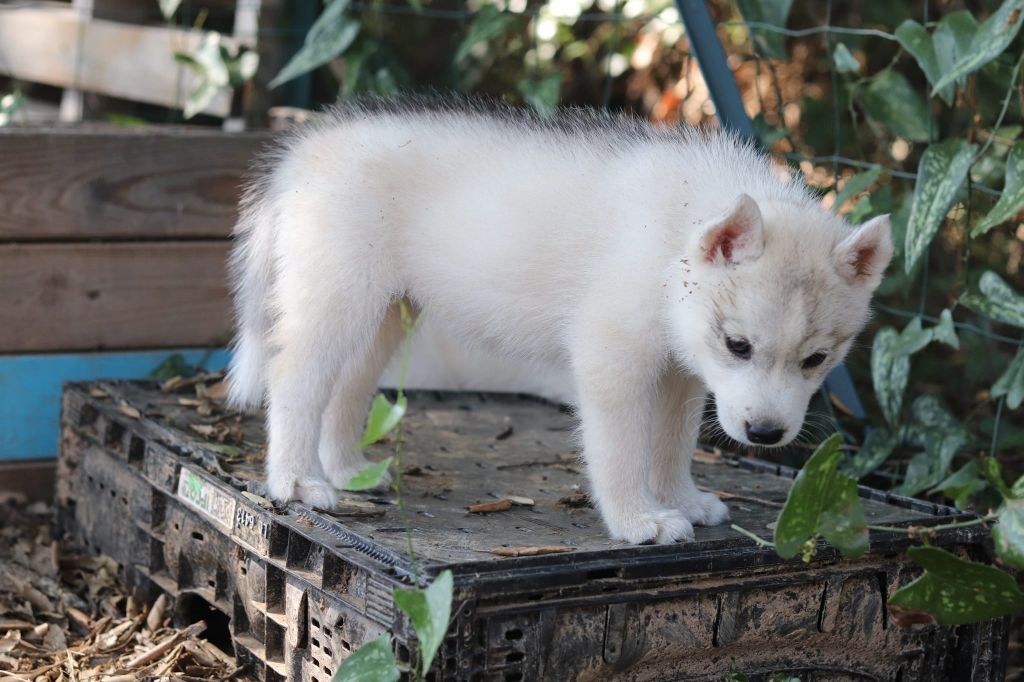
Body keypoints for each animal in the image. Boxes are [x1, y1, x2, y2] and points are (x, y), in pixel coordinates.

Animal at [227, 99, 892, 544]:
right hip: (336, 296)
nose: (765, 435)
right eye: (739, 346)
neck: (675, 234)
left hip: (384, 311)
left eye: (816, 360)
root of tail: (303, 151)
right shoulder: (612, 356)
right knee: (295, 378)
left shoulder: (682, 370)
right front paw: (638, 518)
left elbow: (672, 443)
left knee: (349, 384)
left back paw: (345, 469)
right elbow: (622, 448)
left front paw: (682, 500)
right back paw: (296, 482)